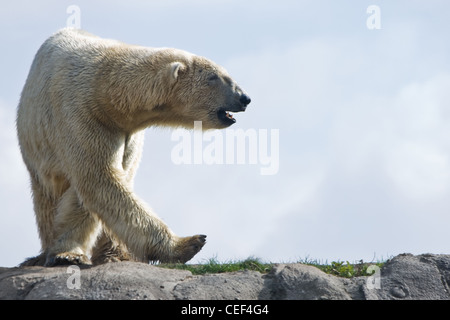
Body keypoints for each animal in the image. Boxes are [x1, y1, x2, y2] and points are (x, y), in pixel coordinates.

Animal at [16, 28, 250, 266]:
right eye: (214, 77)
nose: (244, 98)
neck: (106, 91)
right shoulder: (81, 115)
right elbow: (97, 179)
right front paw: (189, 243)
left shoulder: (127, 135)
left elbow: (104, 185)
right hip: (38, 148)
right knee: (47, 198)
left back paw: (115, 253)